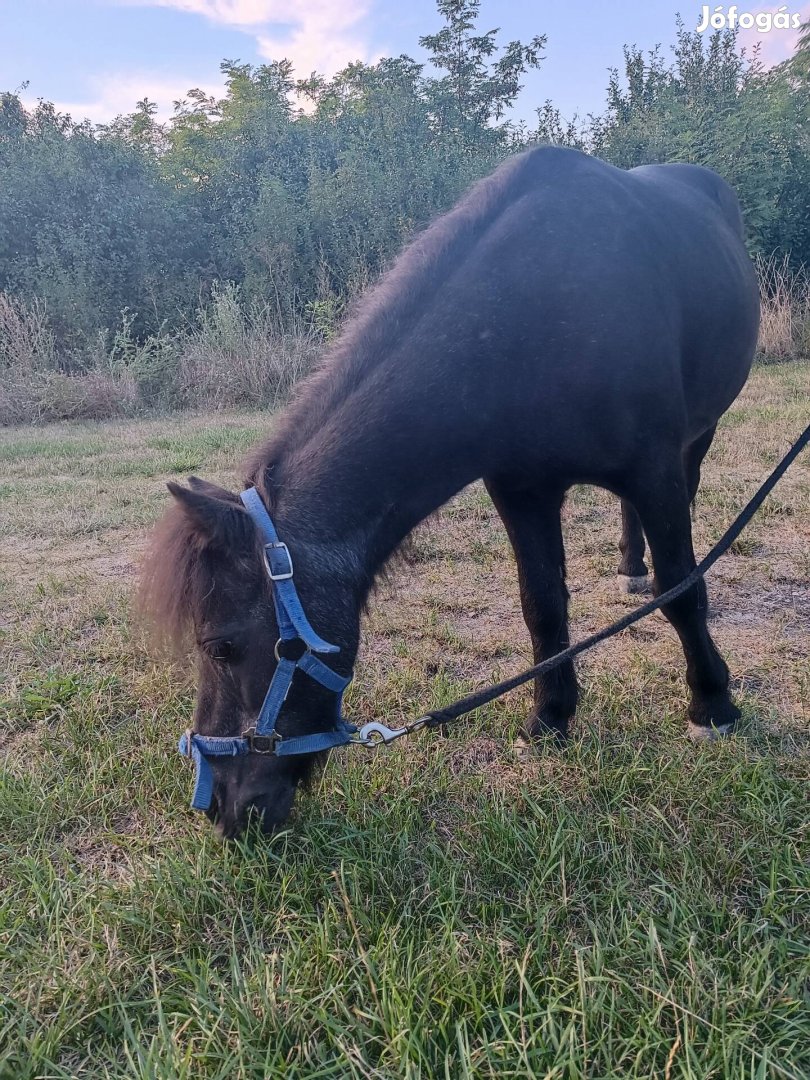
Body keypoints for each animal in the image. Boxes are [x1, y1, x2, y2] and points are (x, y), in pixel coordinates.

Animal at [144, 145, 760, 833]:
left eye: (221, 646)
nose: (224, 808)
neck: (538, 312)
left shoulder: (655, 470)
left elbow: (684, 591)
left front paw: (712, 705)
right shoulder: (523, 491)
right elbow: (542, 604)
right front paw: (549, 719)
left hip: (696, 439)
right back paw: (631, 568)